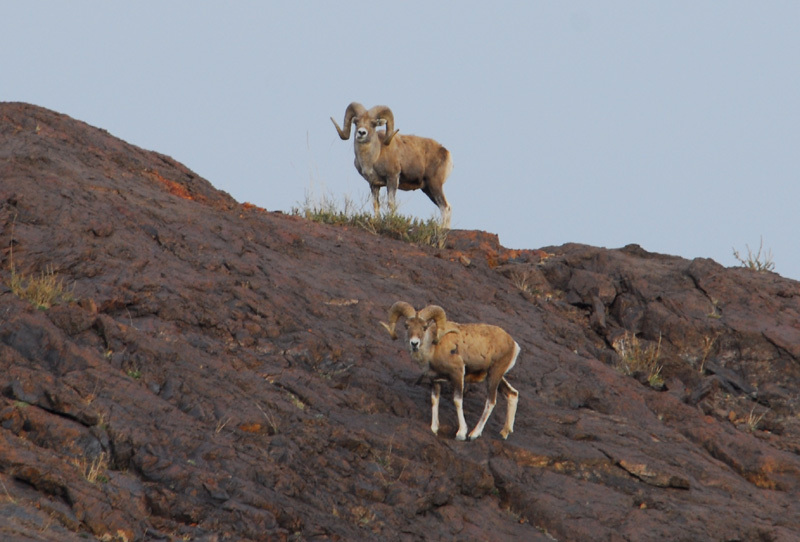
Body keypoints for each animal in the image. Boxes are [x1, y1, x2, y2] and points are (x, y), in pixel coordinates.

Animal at [380, 302, 520, 442]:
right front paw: (434, 429)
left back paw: (473, 434)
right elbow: (434, 400)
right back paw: (504, 433)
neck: (433, 349)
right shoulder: (435, 380)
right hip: (496, 377)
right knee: (512, 394)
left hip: (494, 375)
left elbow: (457, 400)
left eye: (424, 327)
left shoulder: (457, 374)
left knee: (490, 402)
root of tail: (514, 345)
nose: (414, 343)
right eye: (407, 326)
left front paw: (461, 434)